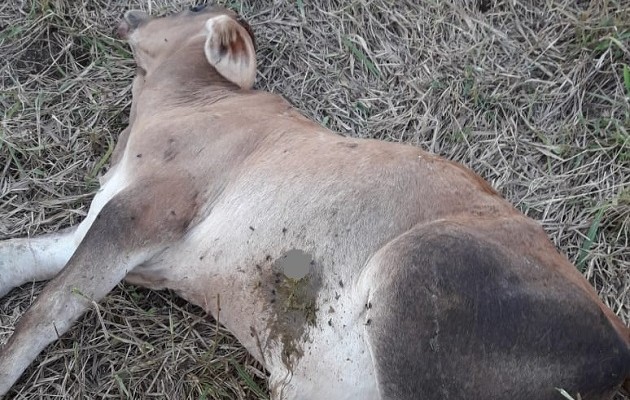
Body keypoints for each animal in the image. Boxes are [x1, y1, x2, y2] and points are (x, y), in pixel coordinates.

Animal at [1, 3, 630, 400]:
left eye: (193, 7)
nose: (133, 12)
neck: (180, 104)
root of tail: (618, 349)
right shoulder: (107, 226)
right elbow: (20, 255)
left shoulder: (149, 209)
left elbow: (46, 311)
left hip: (420, 275)